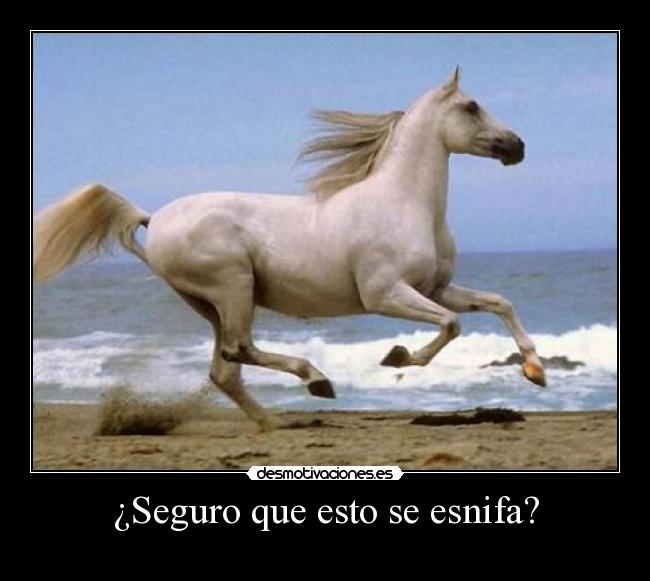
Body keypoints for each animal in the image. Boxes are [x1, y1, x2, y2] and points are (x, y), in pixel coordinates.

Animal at [33, 68, 546, 430]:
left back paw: (272, 421)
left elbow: (498, 303)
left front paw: (535, 369)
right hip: (233, 286)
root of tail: (154, 218)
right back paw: (316, 381)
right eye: (472, 106)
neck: (404, 203)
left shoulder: (434, 288)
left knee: (224, 370)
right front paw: (398, 357)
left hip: (209, 303)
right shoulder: (385, 294)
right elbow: (453, 325)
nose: (517, 146)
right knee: (239, 350)